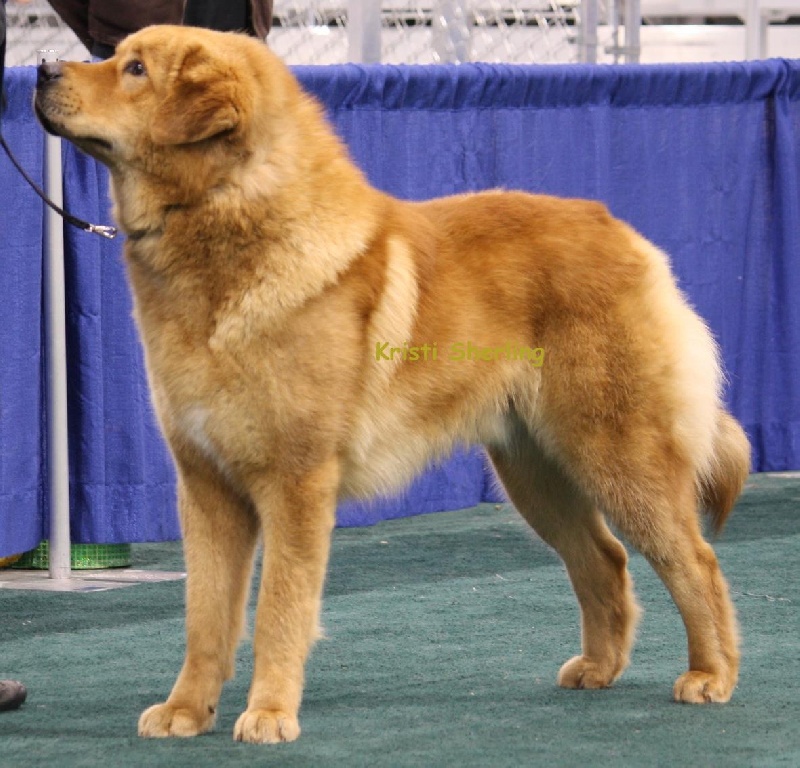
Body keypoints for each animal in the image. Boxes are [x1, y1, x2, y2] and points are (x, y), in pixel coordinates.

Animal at [36, 27, 752, 740]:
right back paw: (599, 669)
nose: (41, 70)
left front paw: (269, 713)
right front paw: (187, 711)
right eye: (115, 57)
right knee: (603, 559)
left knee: (694, 561)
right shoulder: (206, 485)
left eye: (134, 69)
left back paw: (710, 676)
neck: (228, 215)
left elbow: (278, 609)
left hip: (616, 454)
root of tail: (628, 238)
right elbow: (206, 615)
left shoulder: (296, 482)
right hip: (535, 472)